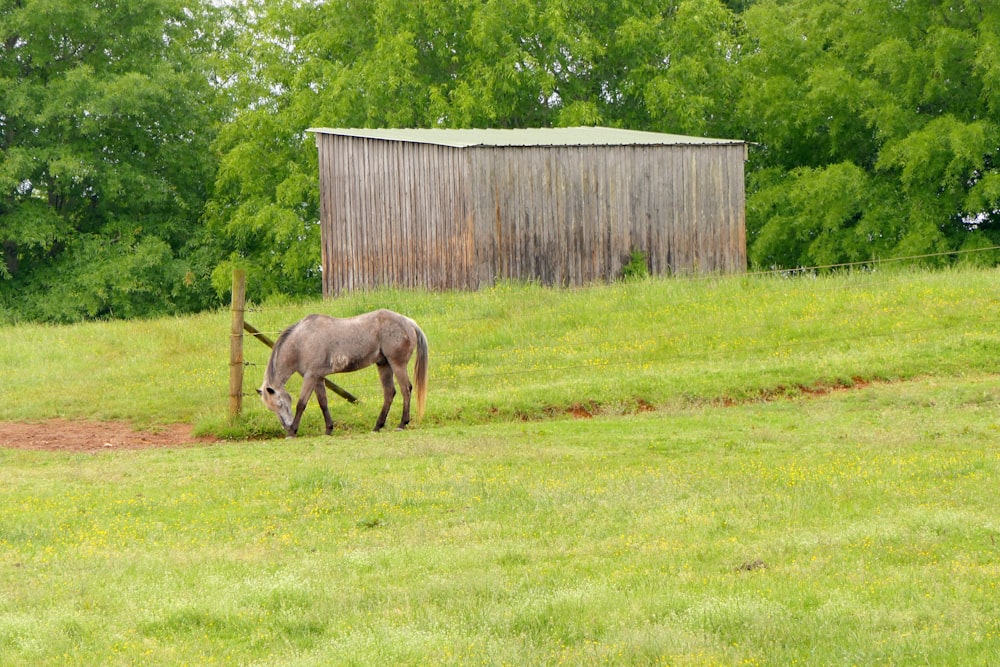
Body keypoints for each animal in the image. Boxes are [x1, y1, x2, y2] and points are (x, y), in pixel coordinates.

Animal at [258, 310, 426, 436]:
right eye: (271, 408)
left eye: (280, 403)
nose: (286, 426)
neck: (301, 343)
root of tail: (408, 321)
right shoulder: (318, 378)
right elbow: (323, 403)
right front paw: (328, 429)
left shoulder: (310, 377)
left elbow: (301, 404)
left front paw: (292, 432)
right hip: (383, 365)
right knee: (390, 393)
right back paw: (377, 426)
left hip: (397, 364)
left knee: (406, 389)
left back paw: (402, 424)